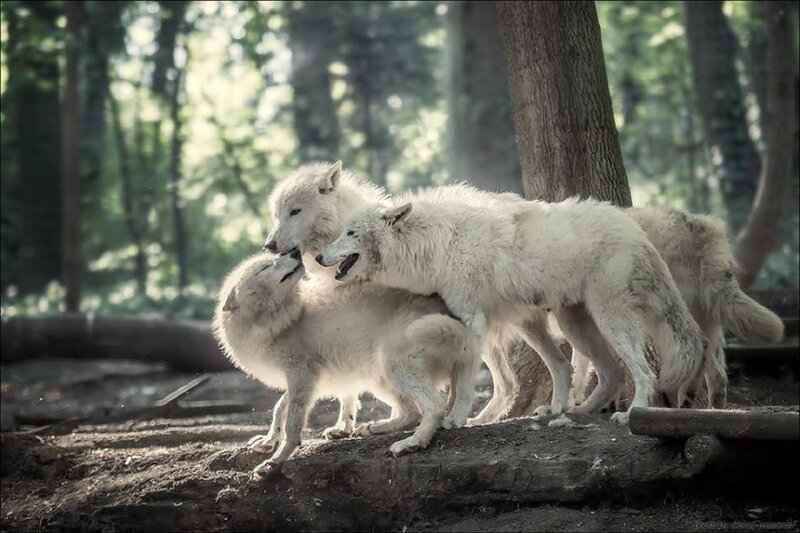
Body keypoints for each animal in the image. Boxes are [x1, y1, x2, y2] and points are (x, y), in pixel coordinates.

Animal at [212, 250, 474, 476]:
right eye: (266, 267)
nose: (295, 252)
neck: (282, 321)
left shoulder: (301, 375)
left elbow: (293, 426)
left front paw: (275, 461)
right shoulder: (306, 380)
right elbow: (279, 407)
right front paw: (268, 441)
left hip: (392, 367)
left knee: (435, 406)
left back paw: (412, 443)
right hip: (380, 379)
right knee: (411, 412)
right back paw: (372, 428)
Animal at [317, 184, 708, 424]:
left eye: (351, 233)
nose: (320, 257)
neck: (440, 243)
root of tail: (636, 231)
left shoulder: (472, 322)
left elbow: (464, 381)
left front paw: (455, 419)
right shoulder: (467, 322)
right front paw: (450, 416)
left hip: (608, 320)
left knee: (643, 372)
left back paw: (630, 414)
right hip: (567, 325)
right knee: (594, 371)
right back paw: (572, 411)